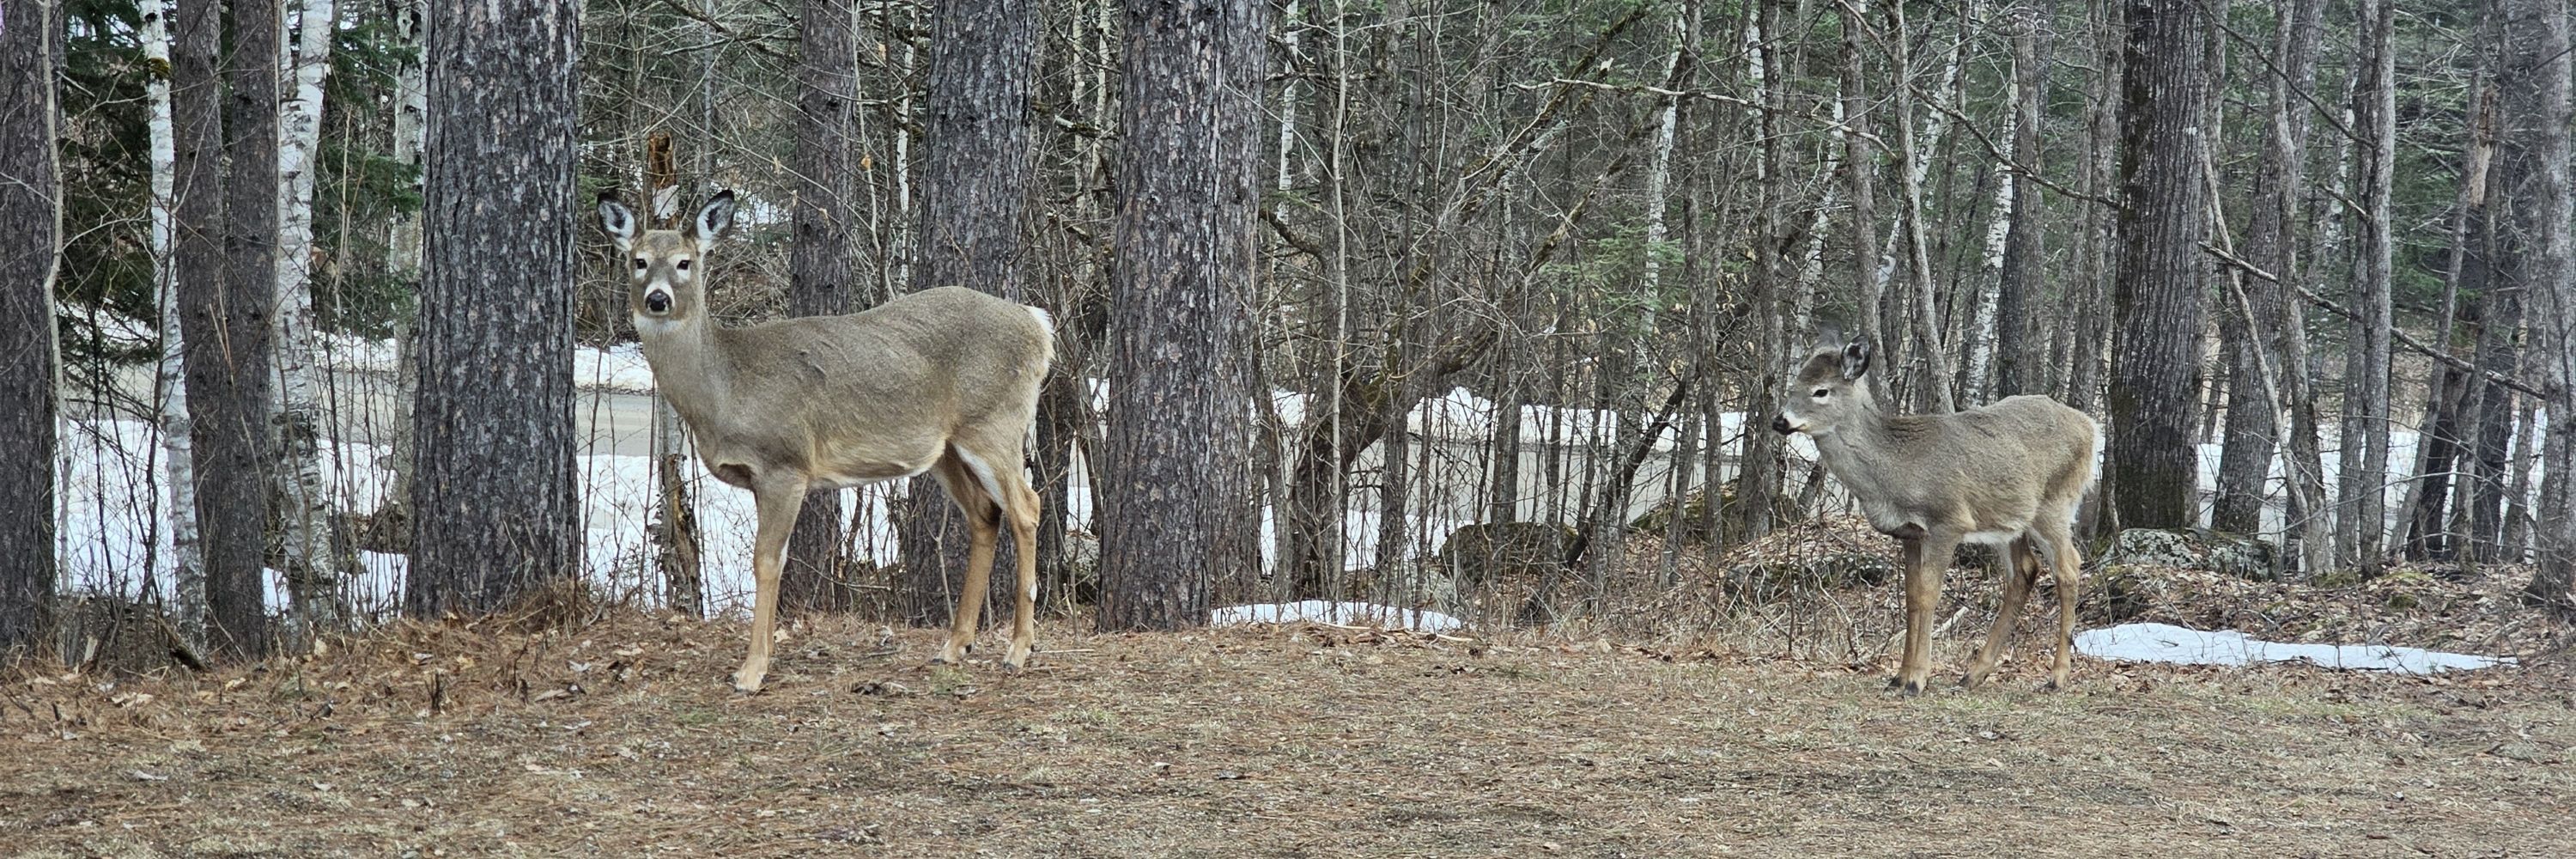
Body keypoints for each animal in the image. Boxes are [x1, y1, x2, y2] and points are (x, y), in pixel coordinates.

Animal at [598, 189, 1051, 691]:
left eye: (685, 262)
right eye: (638, 260)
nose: (658, 299)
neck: (727, 388)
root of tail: (1038, 324)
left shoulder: (785, 464)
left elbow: (766, 560)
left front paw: (752, 670)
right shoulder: (759, 479)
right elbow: (775, 560)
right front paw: (766, 653)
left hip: (994, 422)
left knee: (1026, 507)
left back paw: (1019, 649)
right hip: (946, 449)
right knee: (985, 513)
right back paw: (955, 646)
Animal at [1762, 330, 2102, 691]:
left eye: (1821, 390)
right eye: (1794, 385)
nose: (1780, 420)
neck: (1896, 468)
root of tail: (2091, 426)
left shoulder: (1948, 521)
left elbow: (1929, 594)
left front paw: (1917, 679)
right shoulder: (1910, 532)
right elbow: (1912, 596)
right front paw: (1899, 677)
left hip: (2055, 503)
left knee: (2069, 567)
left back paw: (2058, 676)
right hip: (2010, 521)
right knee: (2024, 571)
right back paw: (1974, 673)